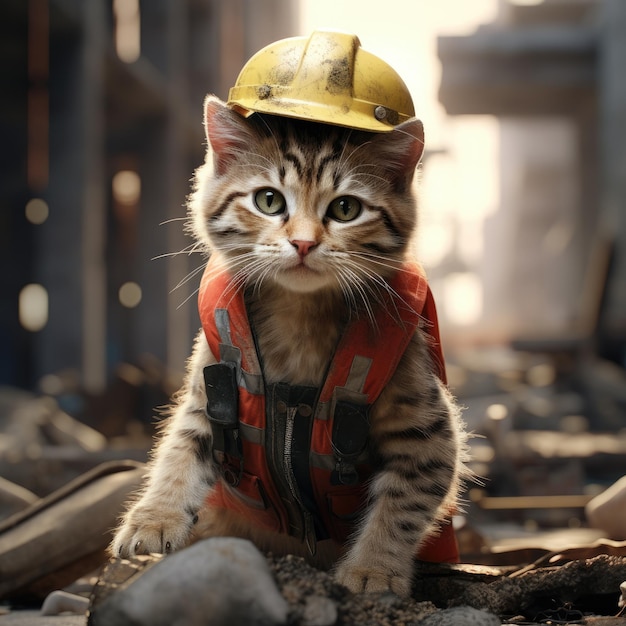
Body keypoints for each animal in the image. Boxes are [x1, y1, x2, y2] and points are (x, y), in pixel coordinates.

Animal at [112, 96, 466, 596]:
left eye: (345, 209)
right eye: (269, 200)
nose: (302, 242)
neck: (299, 316)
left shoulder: (426, 432)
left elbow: (402, 504)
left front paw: (374, 569)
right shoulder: (209, 391)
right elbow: (178, 452)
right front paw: (154, 518)